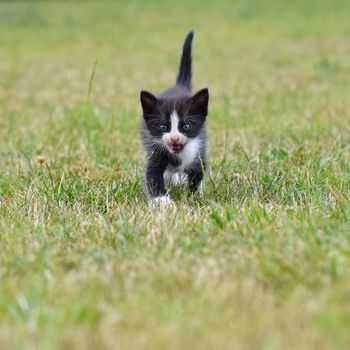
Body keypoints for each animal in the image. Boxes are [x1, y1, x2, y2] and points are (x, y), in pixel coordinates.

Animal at [139, 30, 209, 205]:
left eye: (187, 126)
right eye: (163, 126)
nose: (174, 138)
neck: (179, 155)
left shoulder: (199, 152)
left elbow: (198, 173)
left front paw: (194, 195)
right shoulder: (156, 152)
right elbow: (153, 176)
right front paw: (163, 202)